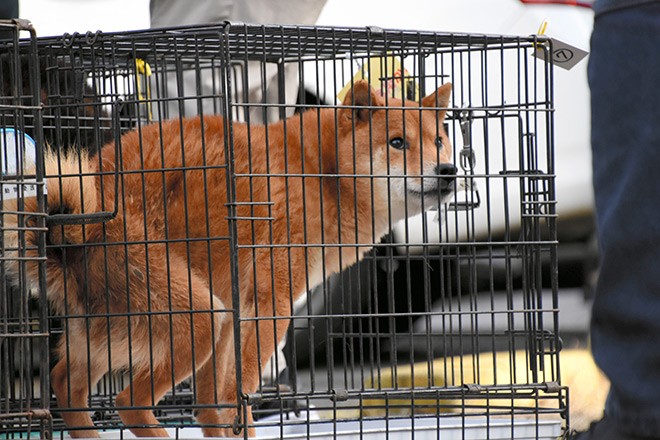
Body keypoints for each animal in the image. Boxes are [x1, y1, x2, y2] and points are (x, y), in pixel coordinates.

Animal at [2, 79, 454, 436]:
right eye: (397, 142)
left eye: (438, 140)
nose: (448, 170)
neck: (319, 172)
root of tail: (68, 230)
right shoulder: (269, 305)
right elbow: (238, 394)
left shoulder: (236, 311)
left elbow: (212, 407)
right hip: (199, 316)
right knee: (130, 402)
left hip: (136, 330)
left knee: (66, 386)